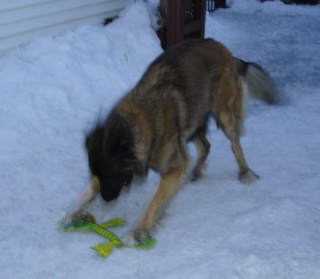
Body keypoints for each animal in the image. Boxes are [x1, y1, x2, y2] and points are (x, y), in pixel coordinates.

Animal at [67, 38, 276, 245]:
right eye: (97, 174)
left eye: (111, 175)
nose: (106, 199)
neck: (142, 124)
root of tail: (223, 48)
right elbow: (90, 188)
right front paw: (72, 212)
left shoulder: (174, 165)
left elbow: (154, 202)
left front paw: (138, 232)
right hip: (191, 120)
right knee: (205, 145)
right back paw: (195, 171)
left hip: (223, 115)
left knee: (234, 143)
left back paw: (245, 172)